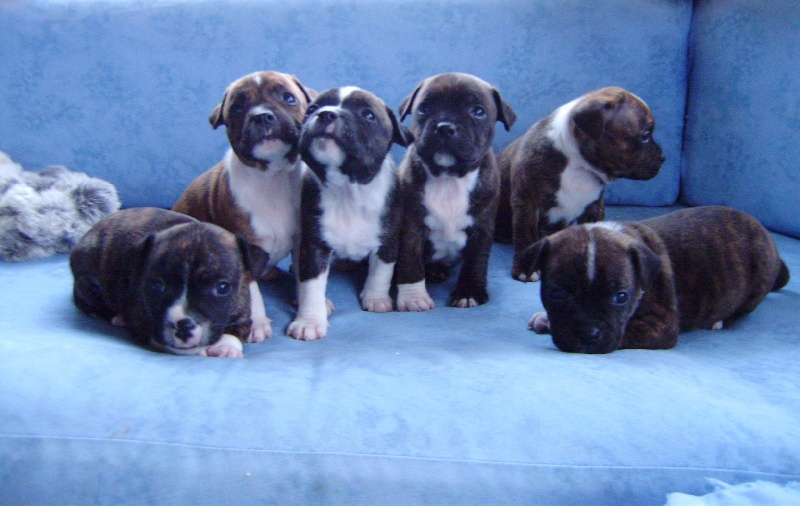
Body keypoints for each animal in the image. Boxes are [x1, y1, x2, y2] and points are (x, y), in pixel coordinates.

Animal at [69, 208, 268, 358]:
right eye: (157, 286)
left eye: (223, 288)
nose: (184, 326)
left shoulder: (242, 310)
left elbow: (237, 330)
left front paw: (226, 347)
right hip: (88, 284)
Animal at [286, 87, 410, 342]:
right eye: (312, 109)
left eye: (368, 115)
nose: (326, 114)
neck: (347, 189)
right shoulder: (315, 246)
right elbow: (311, 285)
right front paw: (309, 321)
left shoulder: (388, 240)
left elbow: (381, 271)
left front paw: (376, 298)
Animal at [396, 70, 520, 308]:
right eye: (423, 108)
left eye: (478, 112)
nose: (445, 126)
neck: (449, 178)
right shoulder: (411, 227)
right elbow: (410, 262)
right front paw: (413, 297)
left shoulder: (481, 229)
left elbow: (475, 262)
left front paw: (469, 292)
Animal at [496, 88, 664, 282]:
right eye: (645, 136)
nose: (663, 157)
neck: (579, 166)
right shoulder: (527, 202)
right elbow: (526, 234)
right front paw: (525, 269)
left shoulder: (594, 206)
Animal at [520, 205, 792, 352]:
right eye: (557, 294)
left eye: (621, 297)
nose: (588, 333)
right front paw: (545, 318)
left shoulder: (659, 326)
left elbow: (626, 333)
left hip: (757, 282)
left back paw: (720, 320)